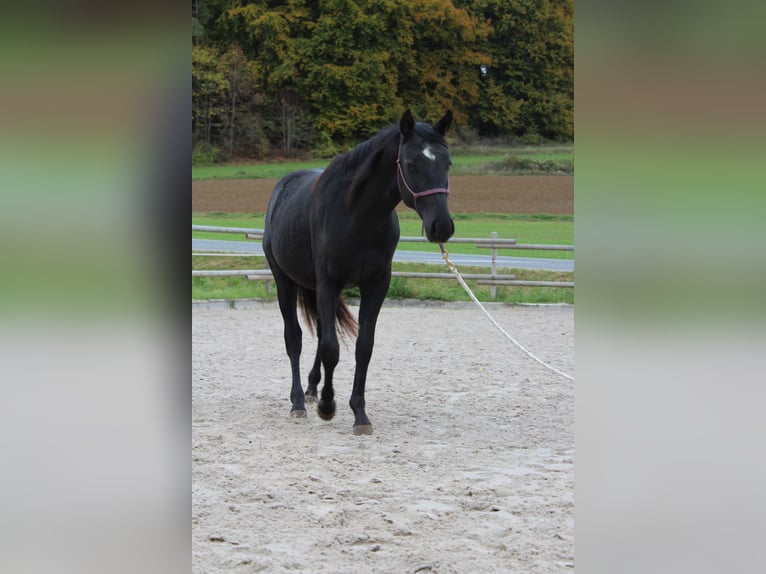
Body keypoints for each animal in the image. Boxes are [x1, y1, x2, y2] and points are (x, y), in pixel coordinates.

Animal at [262, 109, 454, 434]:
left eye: (447, 163)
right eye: (411, 164)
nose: (442, 226)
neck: (357, 216)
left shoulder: (376, 286)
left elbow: (363, 347)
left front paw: (359, 413)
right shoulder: (329, 283)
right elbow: (331, 348)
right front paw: (328, 406)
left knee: (319, 334)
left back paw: (312, 389)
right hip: (284, 282)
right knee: (295, 338)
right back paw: (299, 401)